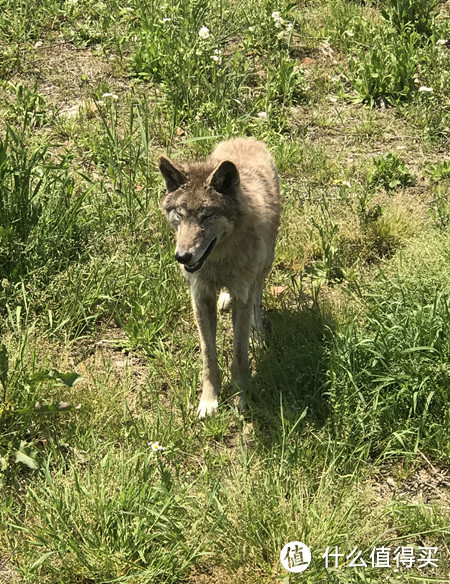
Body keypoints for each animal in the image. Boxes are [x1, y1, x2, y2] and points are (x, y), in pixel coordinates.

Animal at [157, 139, 278, 418]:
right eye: (180, 214)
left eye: (206, 215)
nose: (182, 256)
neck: (219, 260)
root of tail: (246, 138)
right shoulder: (200, 299)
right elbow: (208, 358)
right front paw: (209, 401)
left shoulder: (242, 297)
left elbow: (239, 355)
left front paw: (239, 398)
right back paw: (225, 298)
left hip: (264, 266)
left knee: (258, 297)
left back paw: (257, 335)